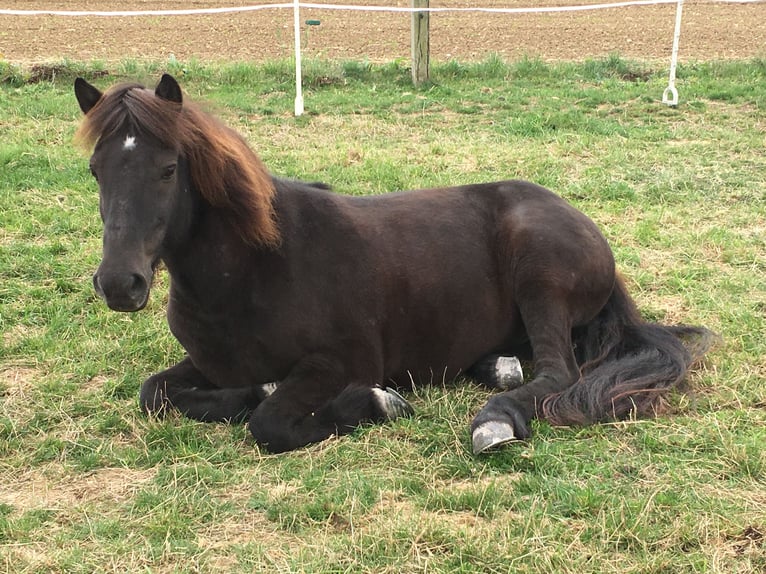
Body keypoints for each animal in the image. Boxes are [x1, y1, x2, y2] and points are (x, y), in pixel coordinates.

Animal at [73, 74, 716, 454]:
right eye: (95, 170)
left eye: (167, 170)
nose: (120, 284)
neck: (253, 273)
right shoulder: (207, 365)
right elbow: (155, 393)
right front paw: (258, 389)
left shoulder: (342, 361)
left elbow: (270, 423)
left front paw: (374, 403)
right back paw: (497, 369)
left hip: (541, 280)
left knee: (560, 373)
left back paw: (494, 419)